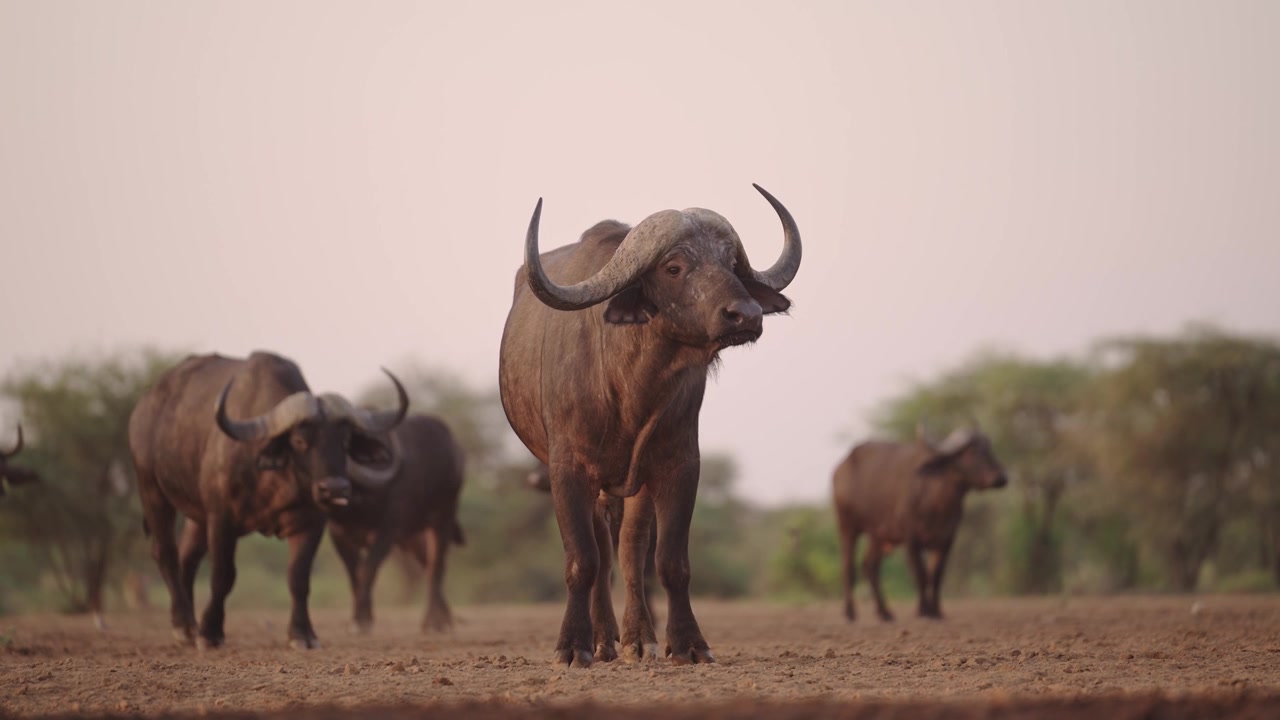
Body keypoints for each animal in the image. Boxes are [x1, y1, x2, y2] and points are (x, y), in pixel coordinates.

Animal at [128, 351, 408, 649]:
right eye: (299, 440)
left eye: (345, 441)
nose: (335, 489)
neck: (275, 482)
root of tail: (144, 408)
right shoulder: (221, 519)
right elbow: (223, 576)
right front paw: (211, 632)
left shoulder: (311, 524)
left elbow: (298, 577)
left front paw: (302, 633)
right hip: (151, 491)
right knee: (165, 552)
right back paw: (184, 626)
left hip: (196, 517)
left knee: (187, 557)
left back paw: (189, 624)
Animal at [328, 413, 466, 634]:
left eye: (346, 443)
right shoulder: (337, 534)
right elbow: (354, 574)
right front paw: (362, 618)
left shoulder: (387, 532)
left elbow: (368, 569)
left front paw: (361, 621)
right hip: (413, 537)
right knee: (428, 565)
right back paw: (445, 618)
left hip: (443, 518)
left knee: (436, 566)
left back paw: (434, 622)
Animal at [499, 185, 801, 667]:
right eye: (674, 267)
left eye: (730, 263)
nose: (747, 314)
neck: (628, 387)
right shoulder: (567, 469)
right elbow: (582, 560)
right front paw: (572, 645)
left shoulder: (680, 465)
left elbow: (670, 562)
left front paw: (688, 643)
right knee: (603, 555)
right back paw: (603, 640)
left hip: (633, 485)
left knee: (628, 549)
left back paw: (637, 638)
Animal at [833, 425, 1008, 623]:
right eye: (972, 451)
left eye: (989, 448)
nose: (1001, 477)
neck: (936, 502)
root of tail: (840, 469)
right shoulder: (911, 540)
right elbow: (920, 575)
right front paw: (923, 610)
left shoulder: (946, 540)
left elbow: (936, 576)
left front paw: (936, 611)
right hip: (847, 525)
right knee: (848, 566)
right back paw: (850, 612)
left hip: (877, 535)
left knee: (870, 565)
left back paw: (885, 612)